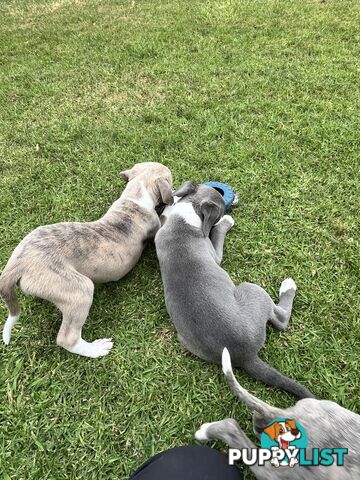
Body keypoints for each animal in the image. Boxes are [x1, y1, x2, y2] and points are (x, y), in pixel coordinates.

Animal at [156, 181, 314, 398]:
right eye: (222, 210)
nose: (227, 213)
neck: (188, 216)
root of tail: (244, 355)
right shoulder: (215, 254)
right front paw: (226, 221)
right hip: (252, 289)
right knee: (281, 320)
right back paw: (288, 286)